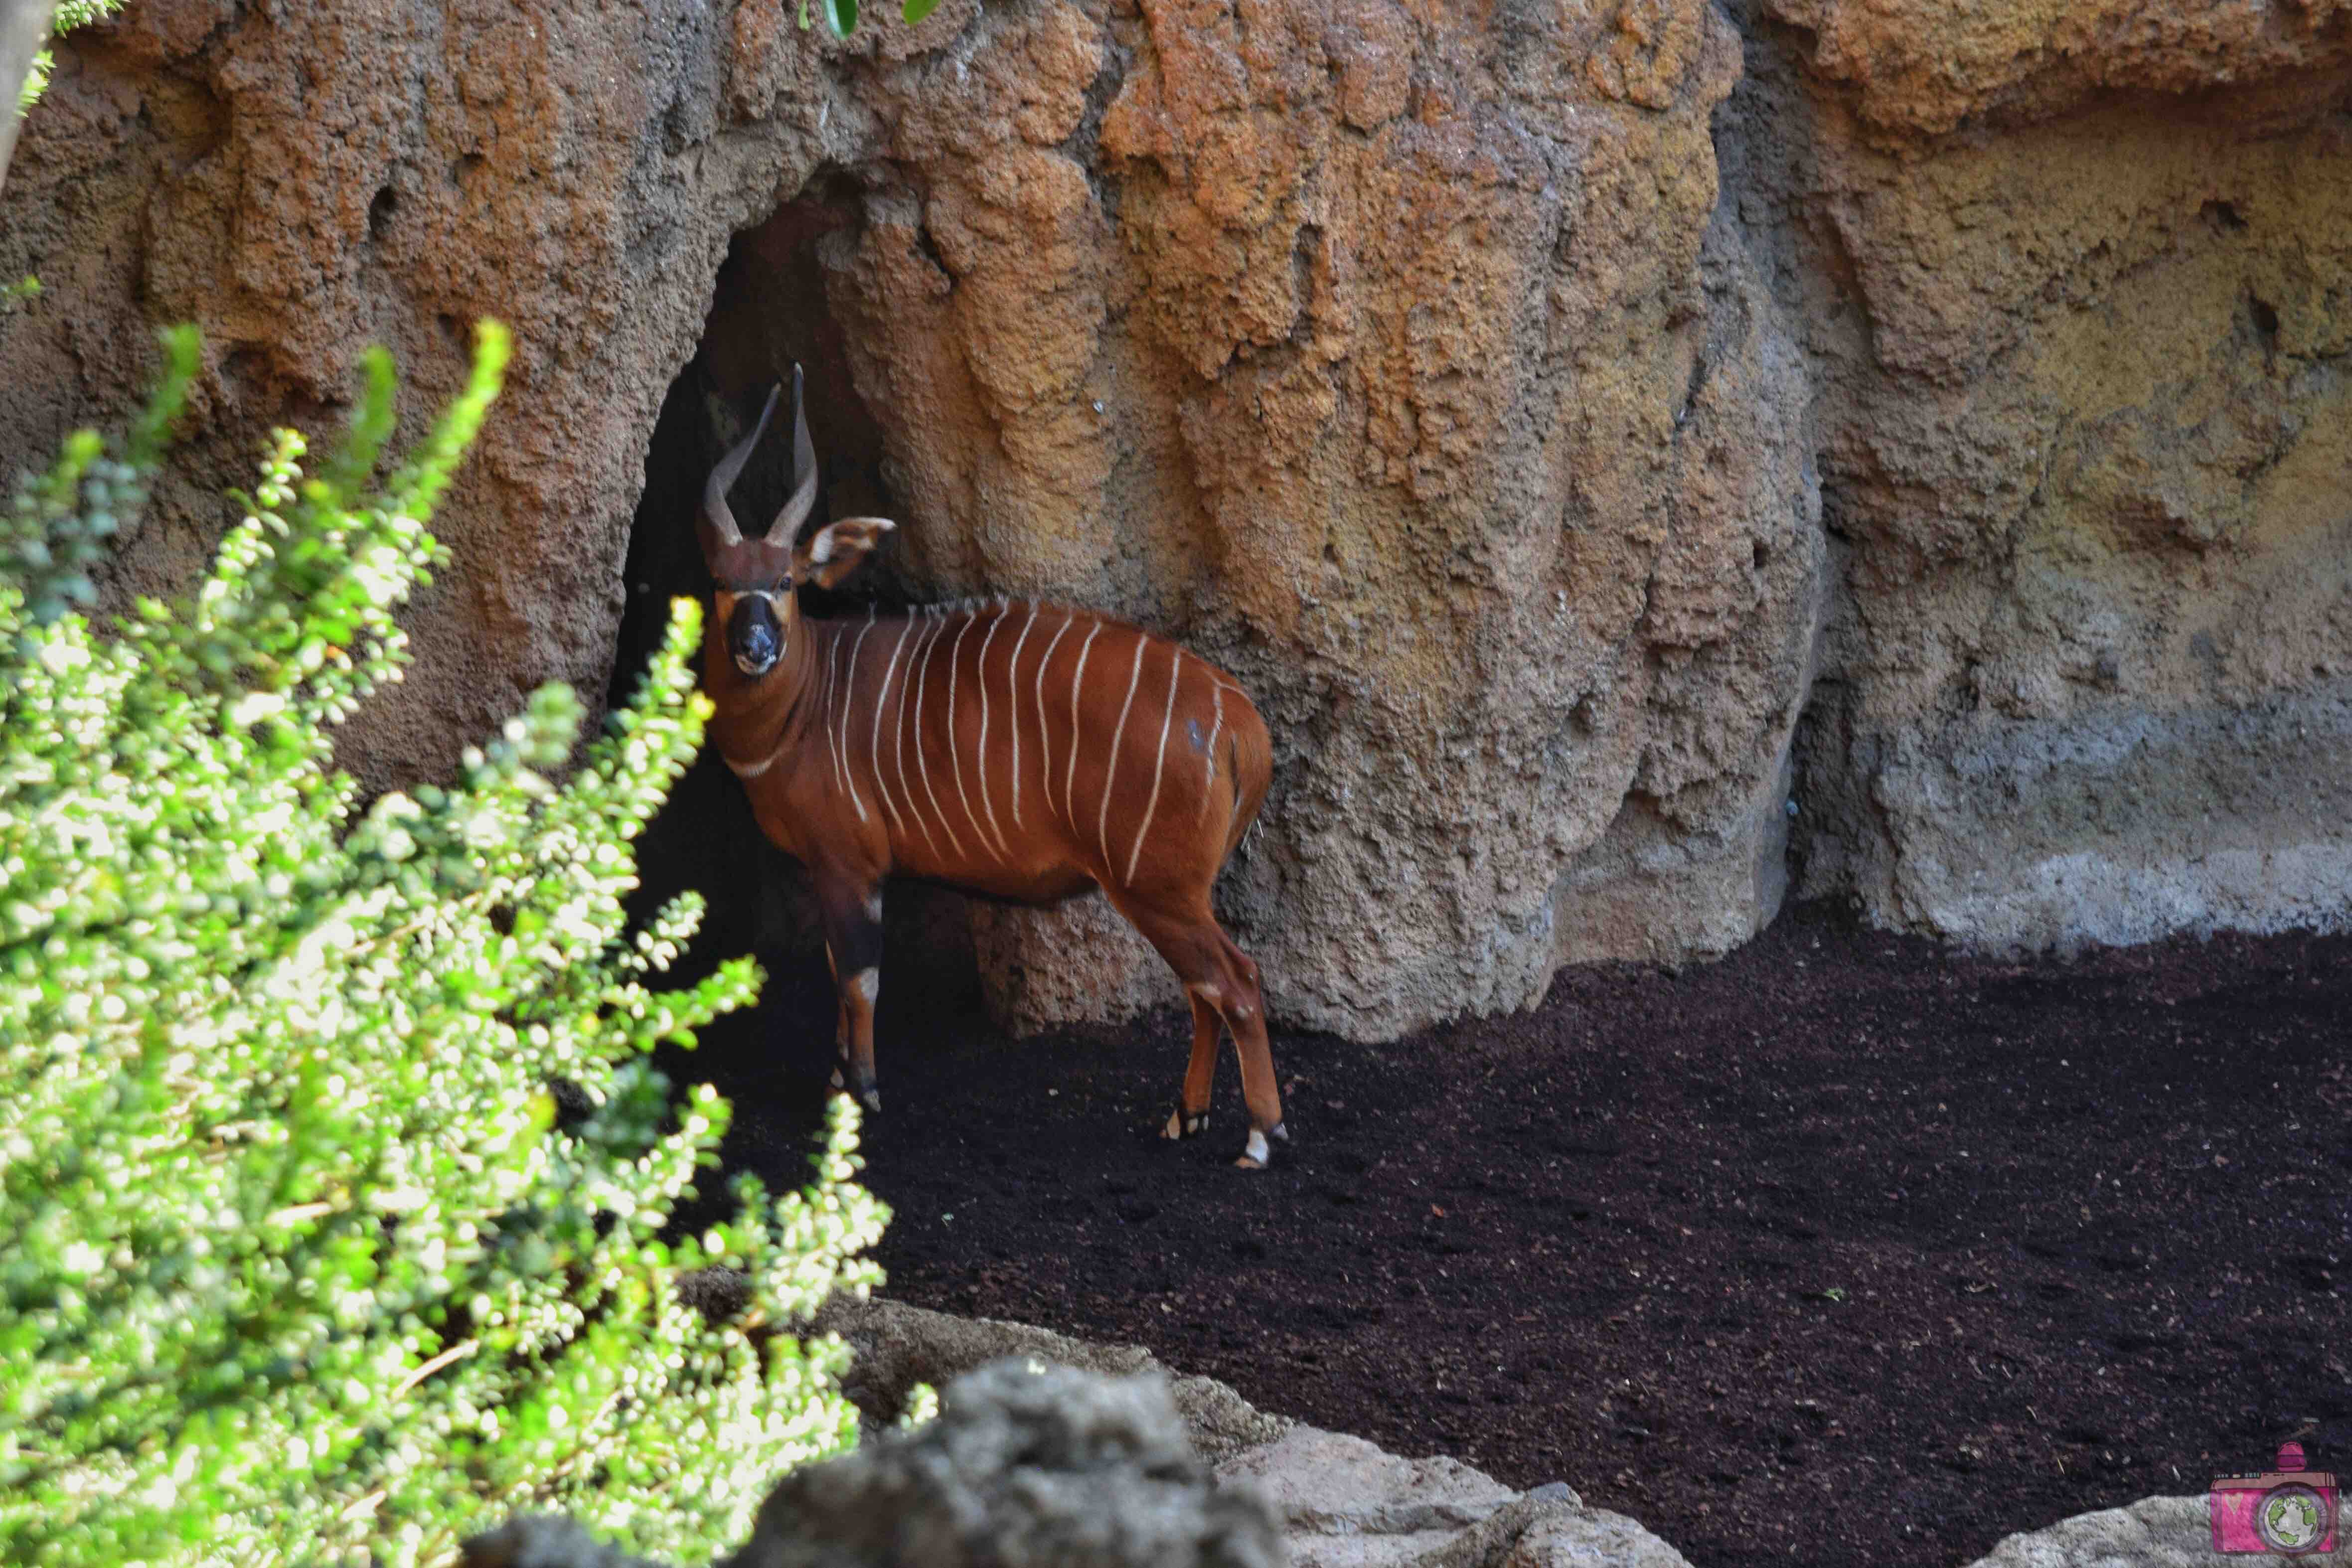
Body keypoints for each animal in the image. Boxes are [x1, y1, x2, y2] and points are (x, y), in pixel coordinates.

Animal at [686, 373, 1298, 1170]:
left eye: (786, 581)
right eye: (722, 579)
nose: (755, 646)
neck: (809, 698)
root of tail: (1239, 724)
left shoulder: (848, 862)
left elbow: (859, 977)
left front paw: (859, 1093)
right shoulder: (840, 871)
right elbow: (838, 970)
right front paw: (838, 1080)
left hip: (1156, 887)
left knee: (1236, 981)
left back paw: (1259, 1137)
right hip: (1175, 892)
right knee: (1206, 989)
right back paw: (1182, 1117)